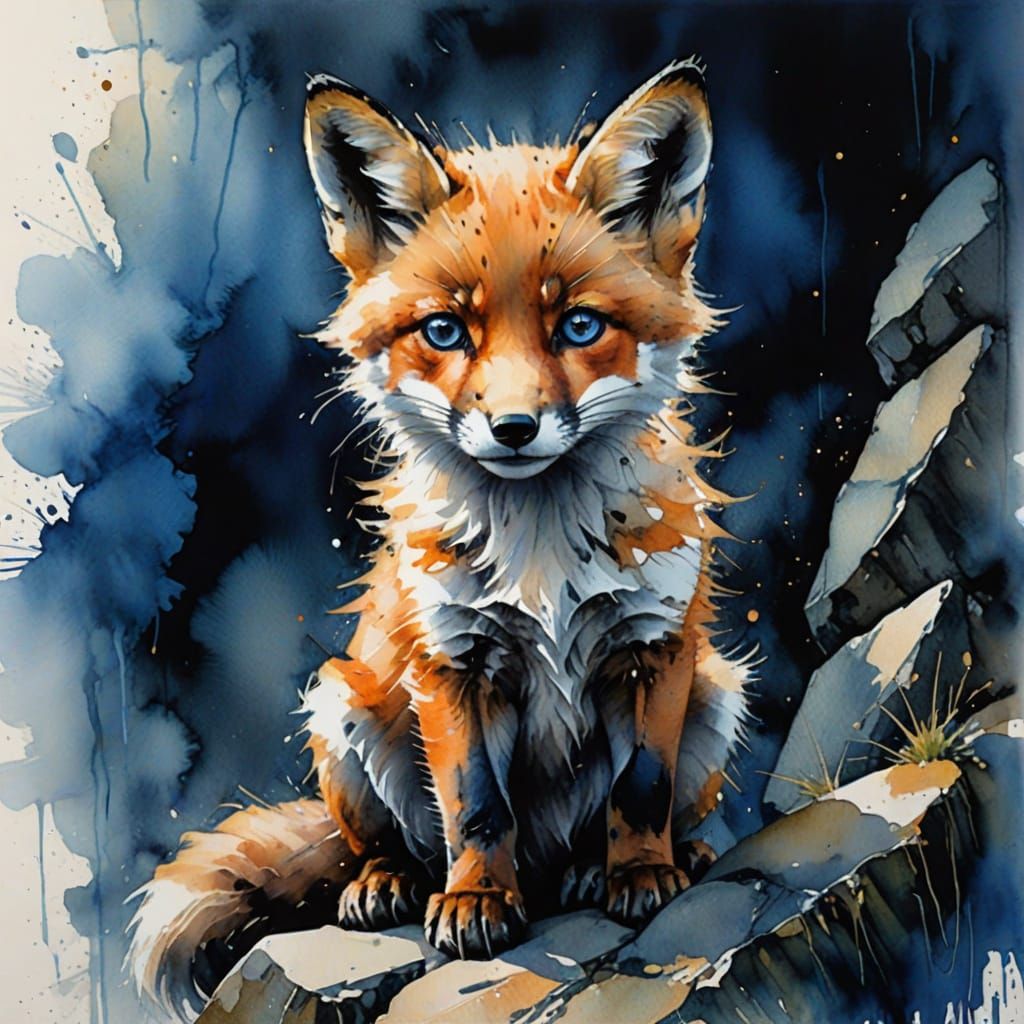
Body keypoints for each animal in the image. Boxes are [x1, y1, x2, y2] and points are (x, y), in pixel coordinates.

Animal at [127, 58, 751, 1018]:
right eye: (445, 331)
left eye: (578, 325)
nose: (515, 428)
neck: (541, 560)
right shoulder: (453, 662)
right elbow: (475, 807)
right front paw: (476, 901)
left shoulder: (655, 647)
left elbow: (641, 786)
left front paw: (641, 873)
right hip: (342, 705)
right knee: (389, 846)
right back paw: (390, 883)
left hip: (717, 693)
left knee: (625, 820)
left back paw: (629, 863)